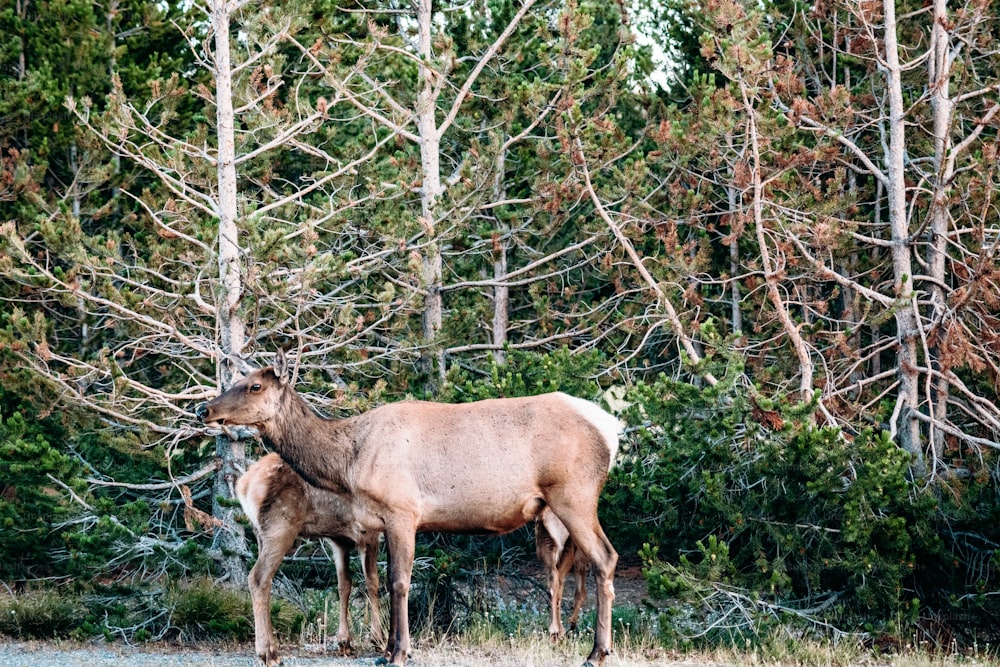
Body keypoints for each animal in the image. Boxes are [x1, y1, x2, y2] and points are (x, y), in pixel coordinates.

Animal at [200, 352, 620, 664]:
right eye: (233, 382)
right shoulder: (381, 521)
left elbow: (400, 582)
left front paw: (399, 652)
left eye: (254, 386)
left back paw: (596, 652)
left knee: (604, 557)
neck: (348, 461)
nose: (205, 410)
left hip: (573, 494)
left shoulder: (402, 510)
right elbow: (385, 581)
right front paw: (385, 649)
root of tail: (612, 428)